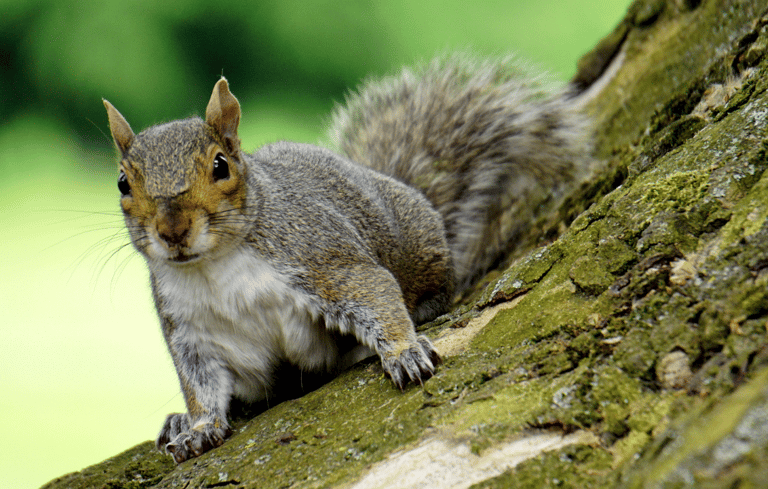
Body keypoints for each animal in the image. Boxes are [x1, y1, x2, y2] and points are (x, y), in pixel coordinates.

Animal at [103, 53, 592, 463]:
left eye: (221, 166)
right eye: (123, 183)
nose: (172, 231)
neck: (215, 267)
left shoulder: (322, 258)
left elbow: (374, 292)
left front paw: (404, 352)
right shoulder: (192, 331)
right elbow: (201, 385)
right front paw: (199, 427)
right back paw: (177, 422)